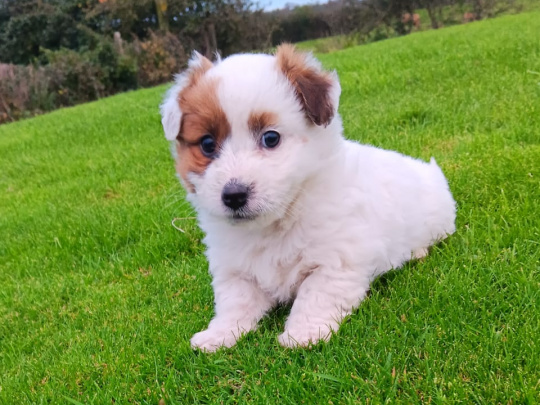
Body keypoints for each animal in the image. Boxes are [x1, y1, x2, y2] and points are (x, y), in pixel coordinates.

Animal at [159, 44, 456, 350]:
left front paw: (302, 335)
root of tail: (430, 172)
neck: (279, 220)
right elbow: (235, 302)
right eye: (207, 144)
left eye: (271, 138)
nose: (234, 195)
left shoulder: (337, 258)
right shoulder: (234, 269)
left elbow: (316, 295)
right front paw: (219, 334)